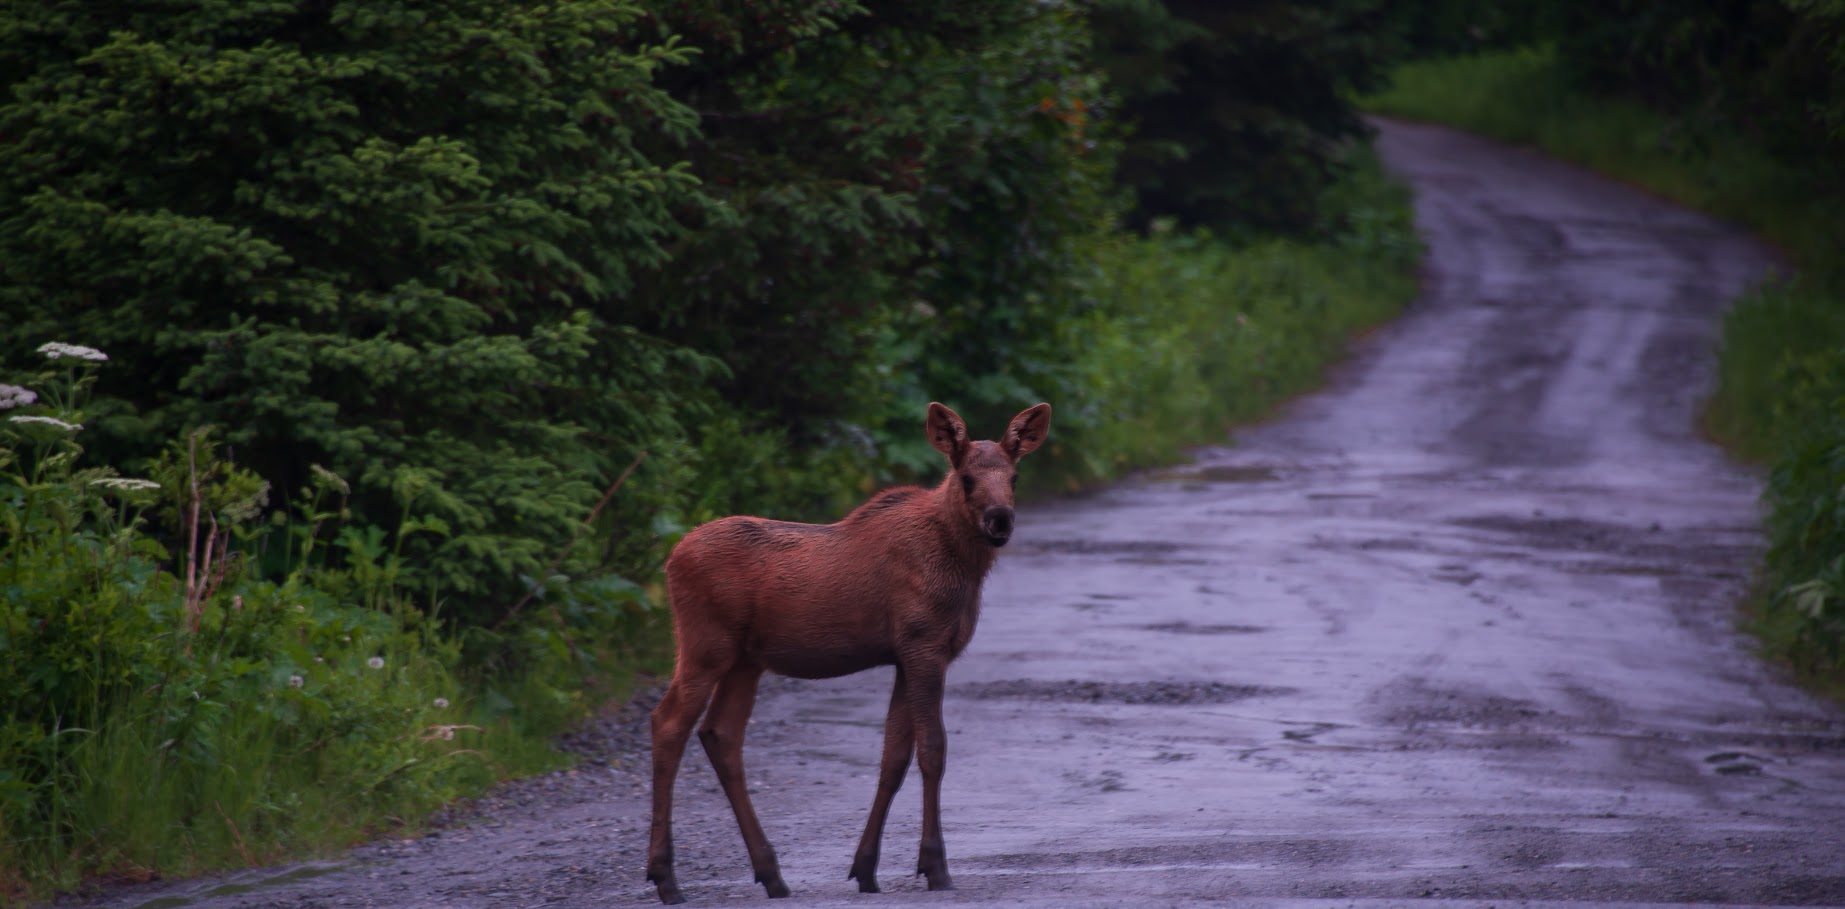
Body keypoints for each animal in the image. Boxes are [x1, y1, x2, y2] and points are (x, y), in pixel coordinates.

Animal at [649, 401, 1055, 899]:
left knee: (720, 734)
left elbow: (893, 758)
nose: (1000, 519)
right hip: (705, 643)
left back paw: (771, 874)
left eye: (1014, 477)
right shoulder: (924, 645)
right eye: (966, 478)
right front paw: (935, 866)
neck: (964, 570)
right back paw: (666, 877)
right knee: (669, 723)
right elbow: (933, 750)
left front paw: (866, 868)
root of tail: (670, 560)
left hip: (746, 659)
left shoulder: (904, 655)